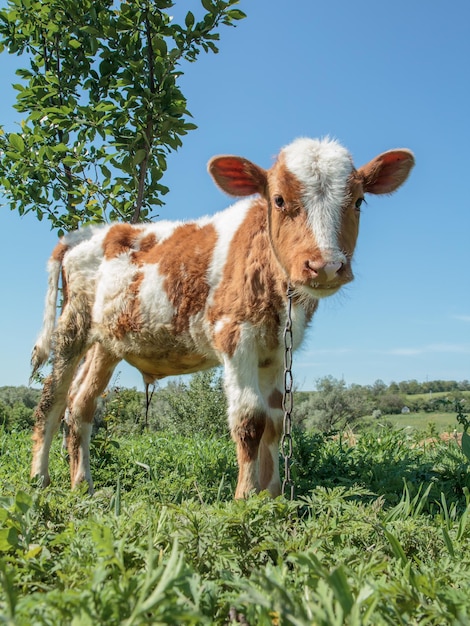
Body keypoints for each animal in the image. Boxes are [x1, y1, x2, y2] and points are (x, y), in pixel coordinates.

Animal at [29, 138, 414, 498]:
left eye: (359, 201)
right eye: (278, 199)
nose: (326, 266)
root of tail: (87, 233)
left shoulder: (277, 350)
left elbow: (275, 421)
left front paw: (273, 495)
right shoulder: (235, 335)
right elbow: (250, 419)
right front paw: (245, 496)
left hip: (107, 342)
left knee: (80, 405)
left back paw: (83, 485)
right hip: (73, 325)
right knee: (51, 399)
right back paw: (39, 479)